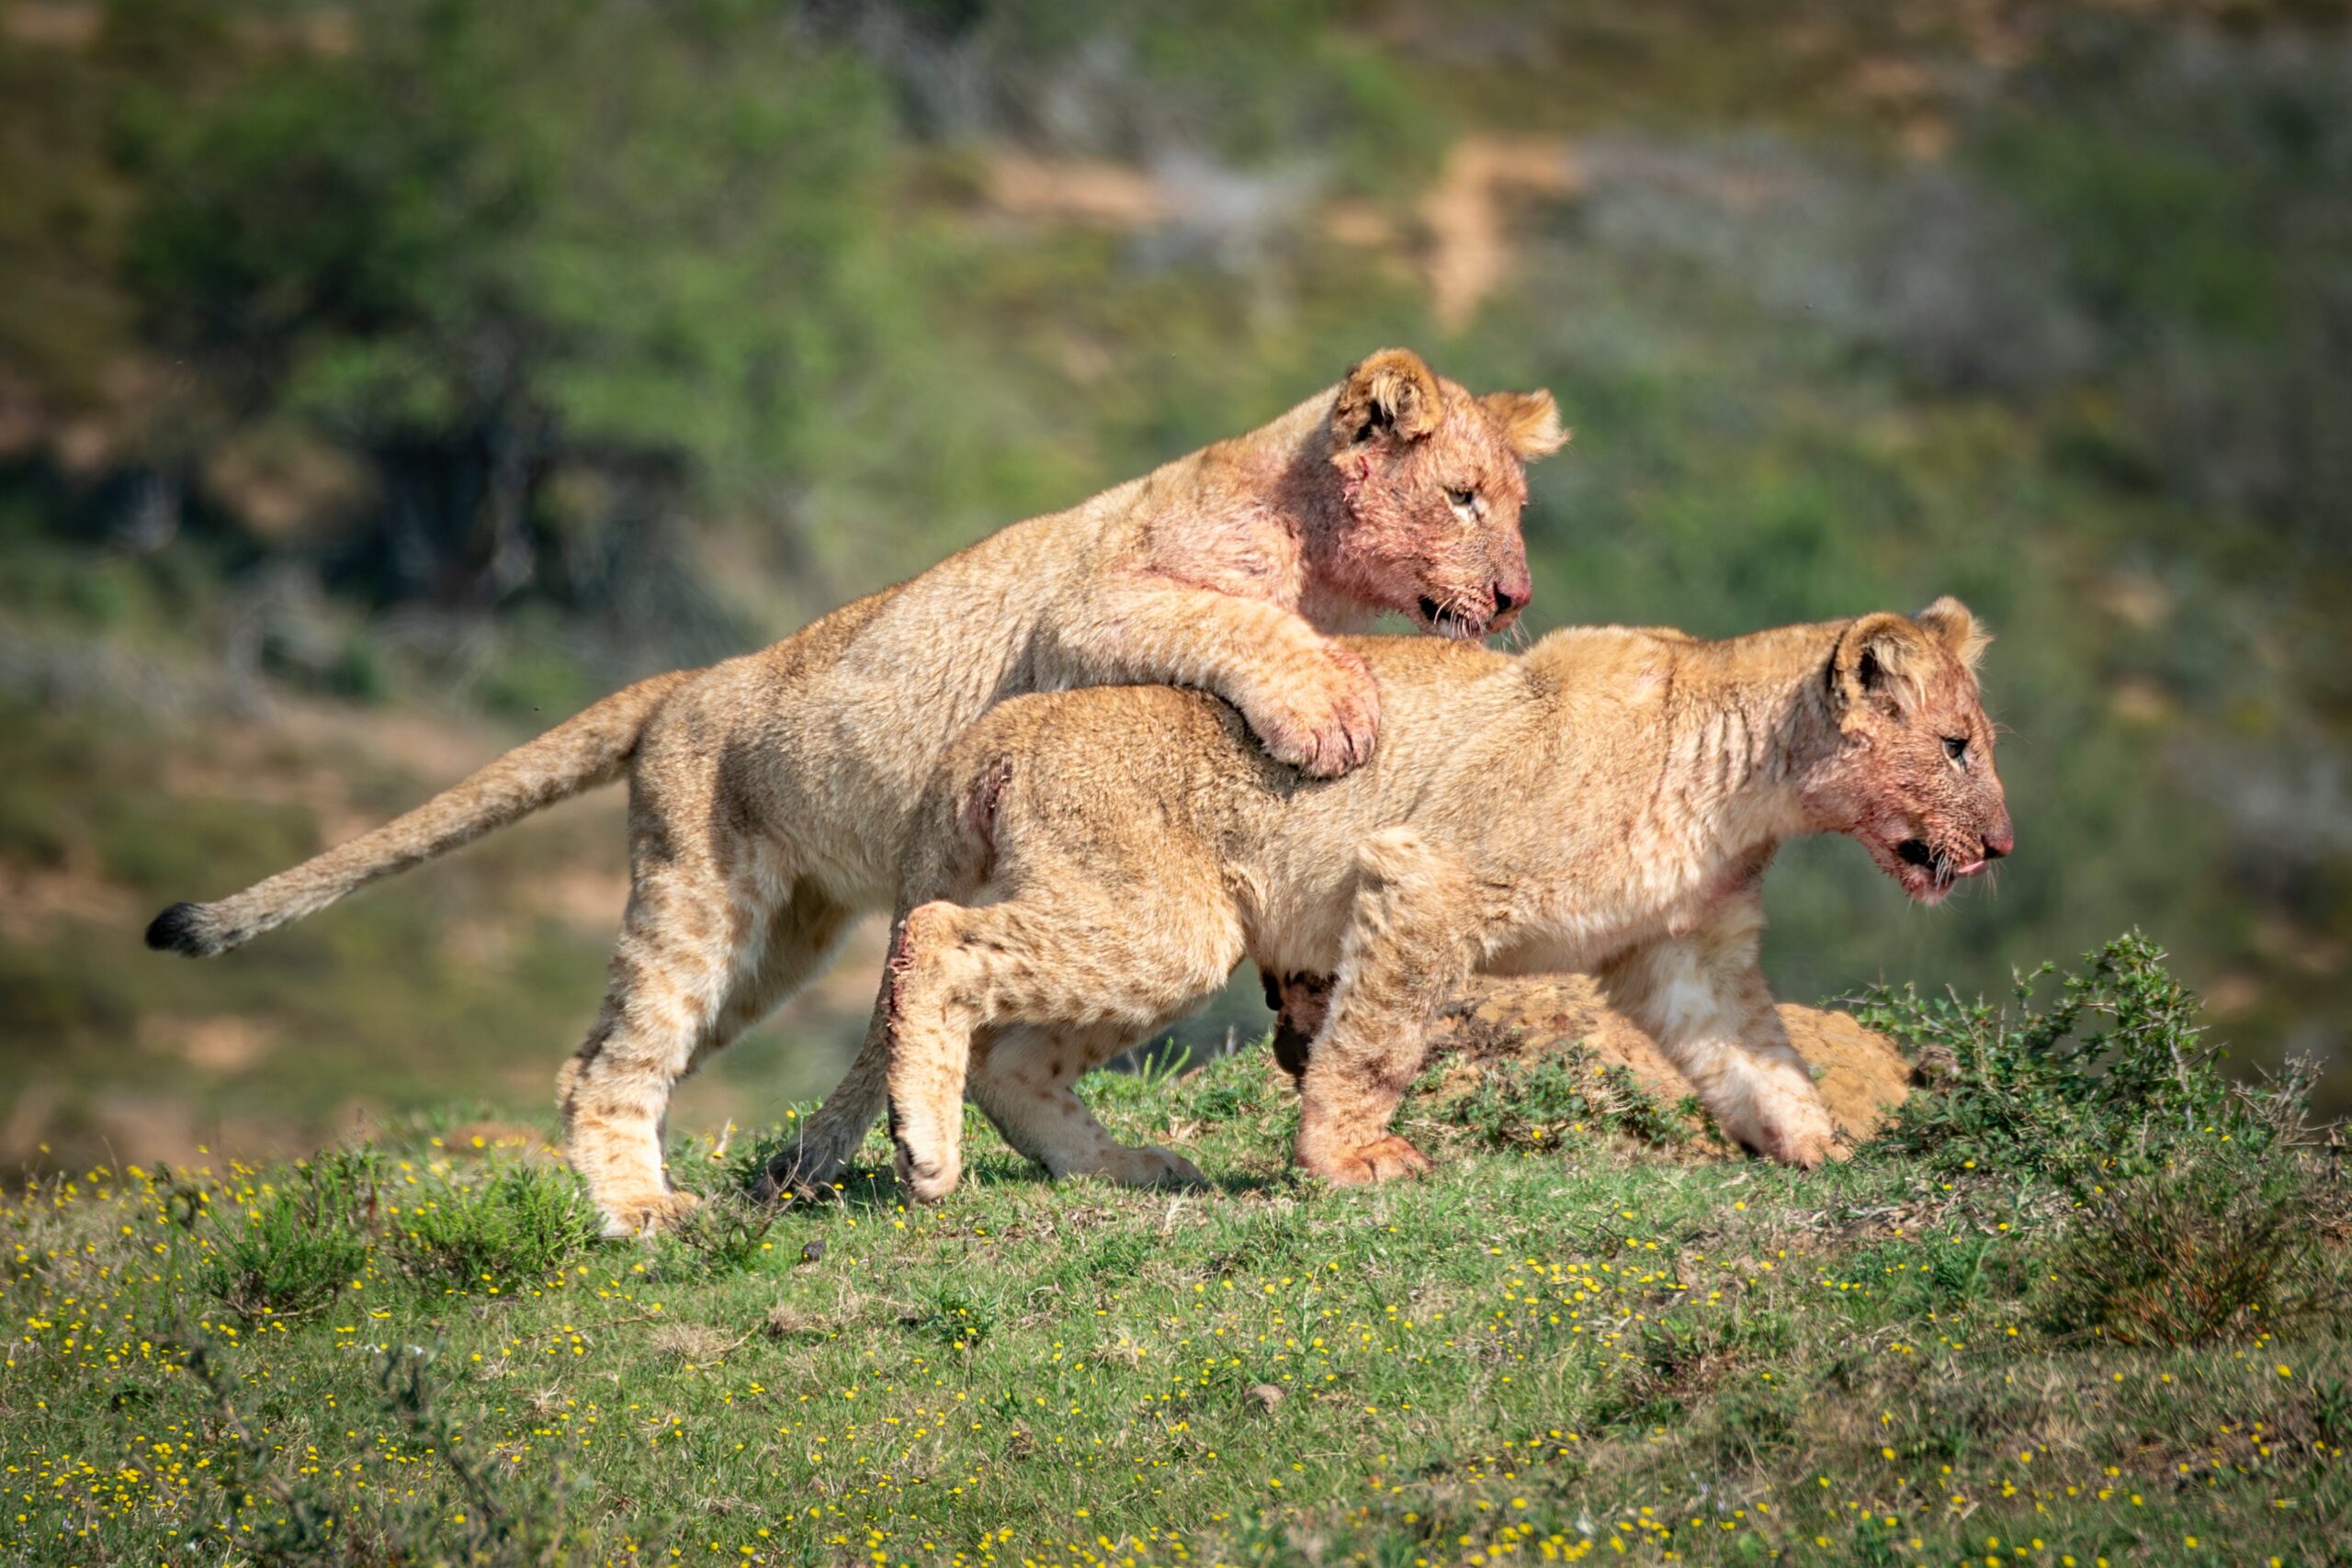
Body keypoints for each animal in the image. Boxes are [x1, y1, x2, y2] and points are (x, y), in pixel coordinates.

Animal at [144, 348, 1567, 1234]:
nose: (1514, 594)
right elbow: (1241, 636)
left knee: (636, 1048)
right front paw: (1328, 709)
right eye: (1461, 497)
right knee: (614, 1058)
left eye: (1515, 506)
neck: (1307, 537)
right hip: (701, 899)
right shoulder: (1097, 609)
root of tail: (689, 679)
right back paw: (643, 1211)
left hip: (780, 941)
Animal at [845, 600, 2013, 1202]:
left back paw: (1121, 1168)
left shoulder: (1686, 951)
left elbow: (1761, 1061)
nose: (2000, 845)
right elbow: (1377, 1043)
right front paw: (1347, 1162)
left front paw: (1822, 1147)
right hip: (1163, 927)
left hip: (1155, 941)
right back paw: (926, 1155)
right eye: (1956, 746)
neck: (1745, 783)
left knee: (1014, 1057)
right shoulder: (1428, 876)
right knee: (936, 938)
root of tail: (994, 731)